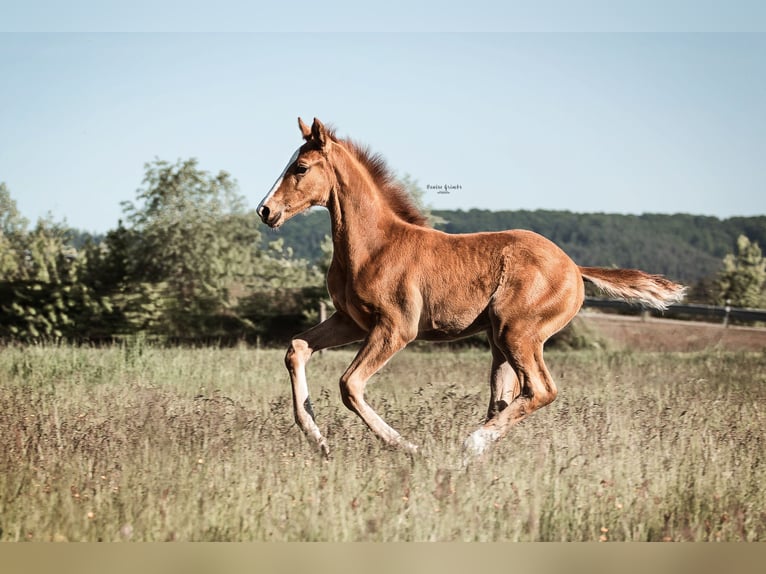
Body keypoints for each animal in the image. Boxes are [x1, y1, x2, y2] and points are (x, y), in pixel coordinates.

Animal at [256, 117, 686, 458]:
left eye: (300, 167)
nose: (265, 210)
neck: (374, 245)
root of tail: (574, 268)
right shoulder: (351, 321)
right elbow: (296, 349)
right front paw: (318, 440)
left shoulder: (396, 327)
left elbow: (350, 385)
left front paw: (408, 447)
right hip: (500, 341)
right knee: (508, 397)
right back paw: (480, 450)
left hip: (518, 332)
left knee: (541, 389)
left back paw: (471, 444)